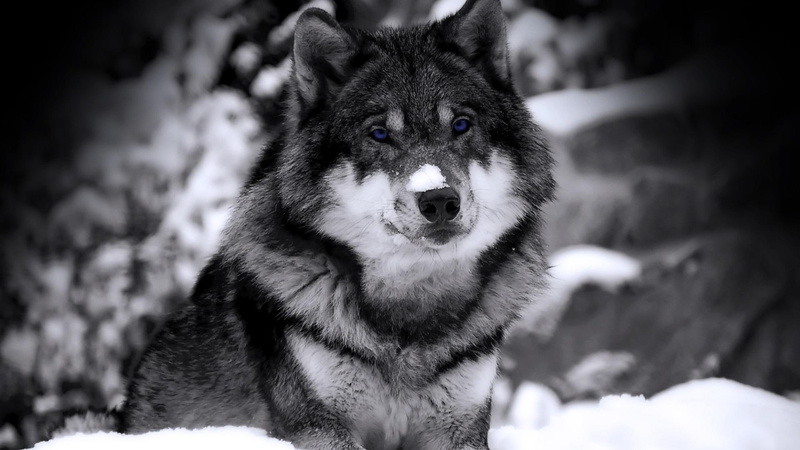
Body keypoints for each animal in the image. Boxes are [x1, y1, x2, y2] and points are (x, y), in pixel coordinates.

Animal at [111, 0, 555, 448]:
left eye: (461, 125)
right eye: (379, 134)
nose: (439, 200)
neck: (409, 313)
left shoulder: (461, 428)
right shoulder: (319, 425)